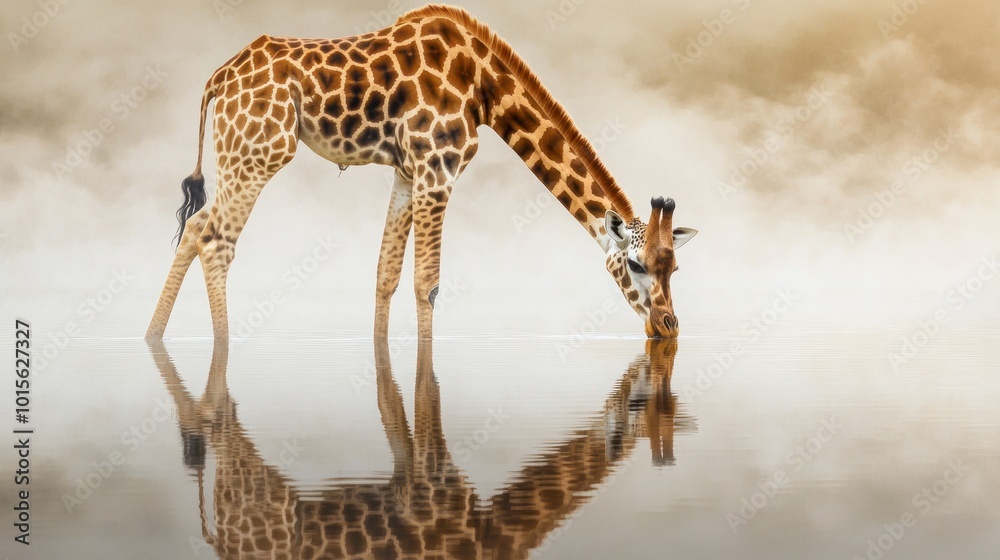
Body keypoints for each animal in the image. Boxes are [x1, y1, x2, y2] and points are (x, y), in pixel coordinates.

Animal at [145, 4, 698, 342]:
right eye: (637, 265)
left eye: (675, 268)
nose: (669, 326)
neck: (484, 89)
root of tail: (218, 78)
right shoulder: (438, 169)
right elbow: (426, 283)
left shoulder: (407, 174)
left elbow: (385, 276)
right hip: (260, 151)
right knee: (216, 239)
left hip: (239, 154)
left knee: (195, 227)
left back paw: (153, 335)